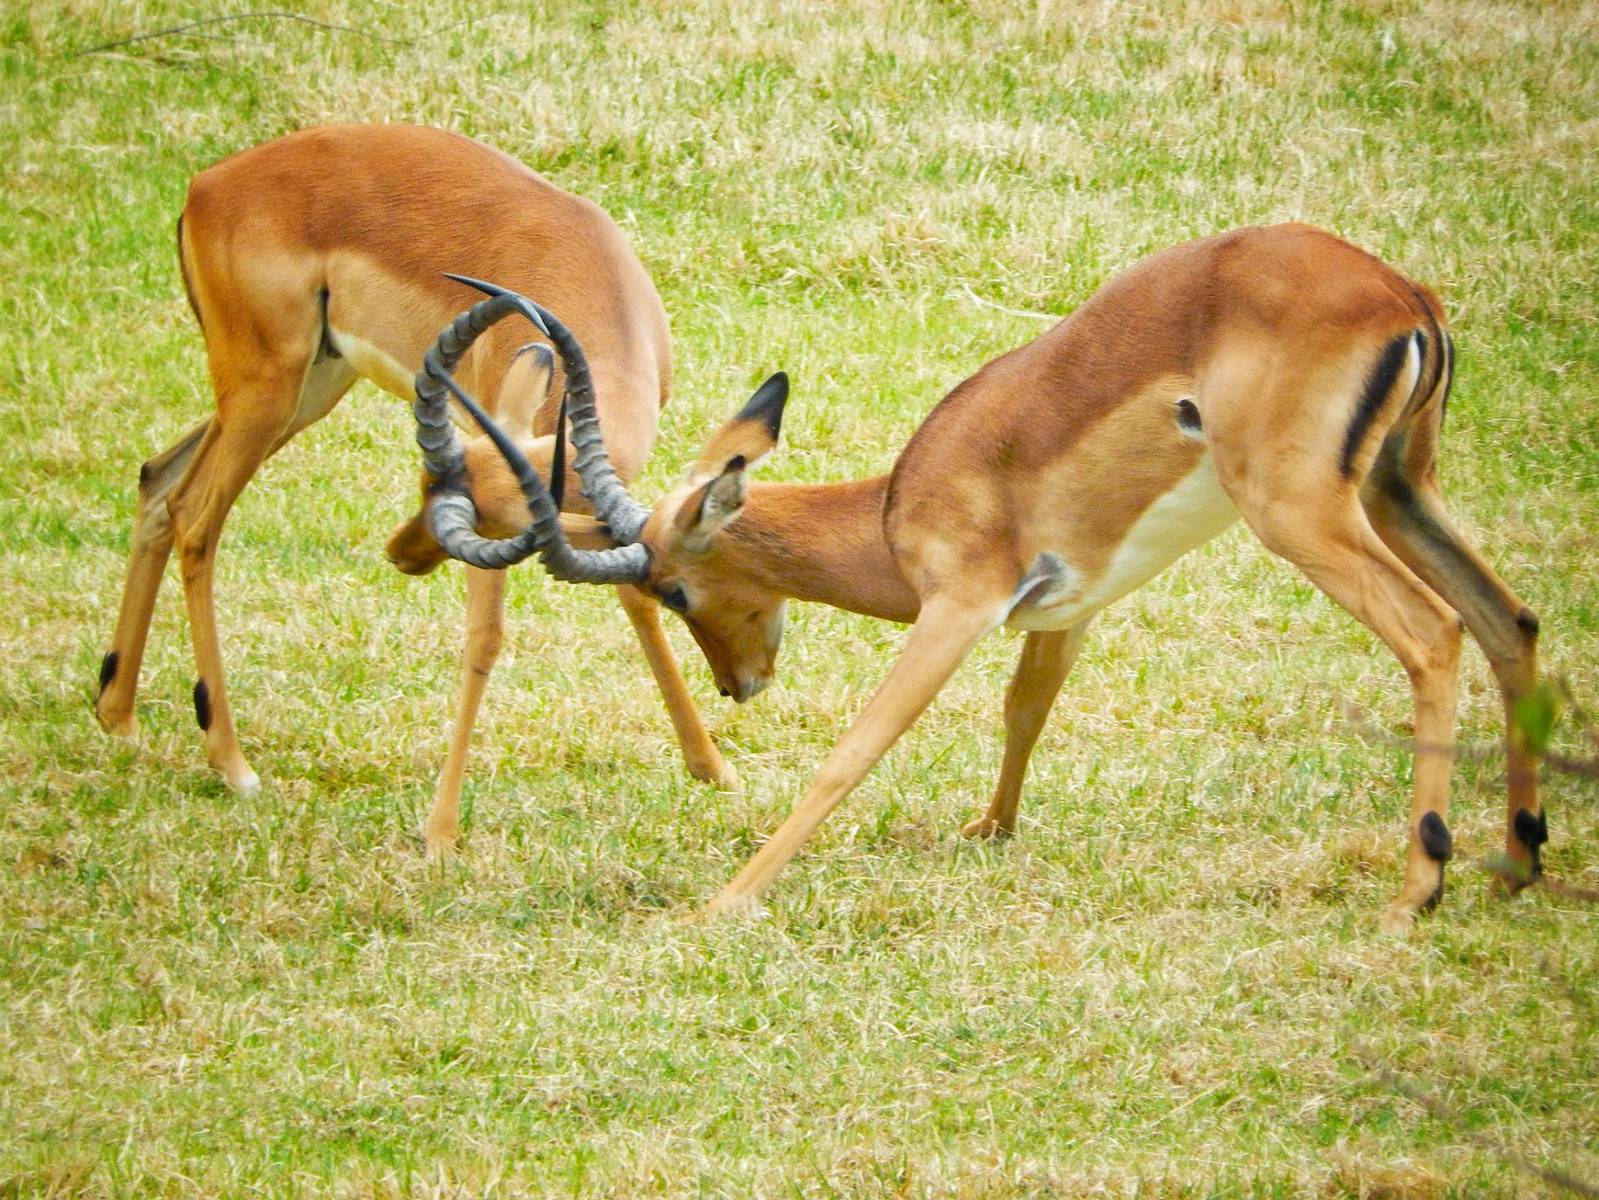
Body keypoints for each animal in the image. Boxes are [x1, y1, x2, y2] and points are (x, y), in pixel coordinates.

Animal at [94, 123, 737, 856]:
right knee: (194, 517)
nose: (401, 555)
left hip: (309, 388)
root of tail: (206, 186)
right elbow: (485, 637)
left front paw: (713, 768)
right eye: (431, 484)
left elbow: (634, 593)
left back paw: (118, 715)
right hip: (266, 390)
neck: (595, 283)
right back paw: (232, 764)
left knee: (156, 479)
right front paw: (440, 832)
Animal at [425, 224, 1546, 933]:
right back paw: (1520, 863)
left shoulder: (957, 607)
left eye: (671, 588)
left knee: (1434, 633)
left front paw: (723, 902)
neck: (896, 511)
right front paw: (988, 831)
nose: (740, 685)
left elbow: (856, 750)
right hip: (1400, 489)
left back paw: (1417, 890)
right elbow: (1026, 709)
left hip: (1302, 515)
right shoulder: (1068, 606)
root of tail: (1405, 297)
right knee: (1511, 622)